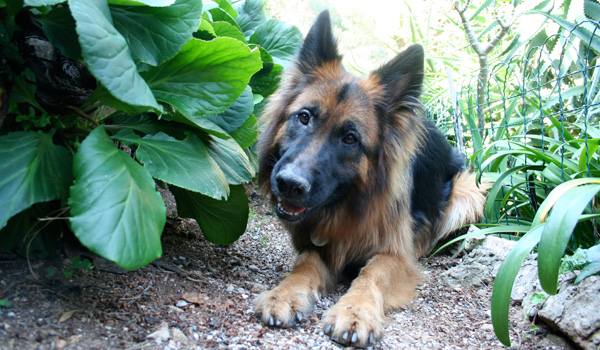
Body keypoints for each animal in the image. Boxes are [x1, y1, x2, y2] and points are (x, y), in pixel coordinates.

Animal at [252, 10, 488, 348]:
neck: (344, 207)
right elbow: (304, 264)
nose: (289, 184)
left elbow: (373, 273)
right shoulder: (312, 244)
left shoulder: (395, 254)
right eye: (304, 117)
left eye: (350, 138)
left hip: (469, 192)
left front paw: (356, 311)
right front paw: (283, 293)